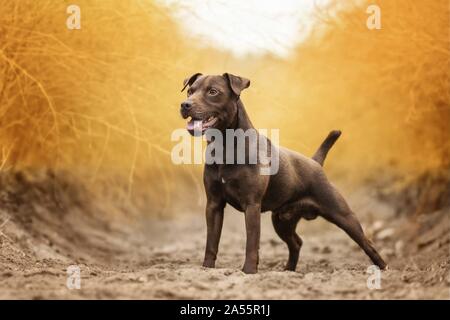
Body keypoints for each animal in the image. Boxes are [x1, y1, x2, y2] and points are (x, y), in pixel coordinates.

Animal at [179, 73, 386, 276]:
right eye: (190, 91)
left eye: (213, 92)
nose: (185, 104)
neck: (226, 146)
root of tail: (315, 162)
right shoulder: (214, 205)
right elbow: (211, 242)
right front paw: (206, 268)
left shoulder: (251, 205)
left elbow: (251, 243)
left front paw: (248, 271)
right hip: (281, 220)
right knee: (296, 243)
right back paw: (288, 271)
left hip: (343, 216)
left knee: (367, 244)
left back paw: (384, 269)